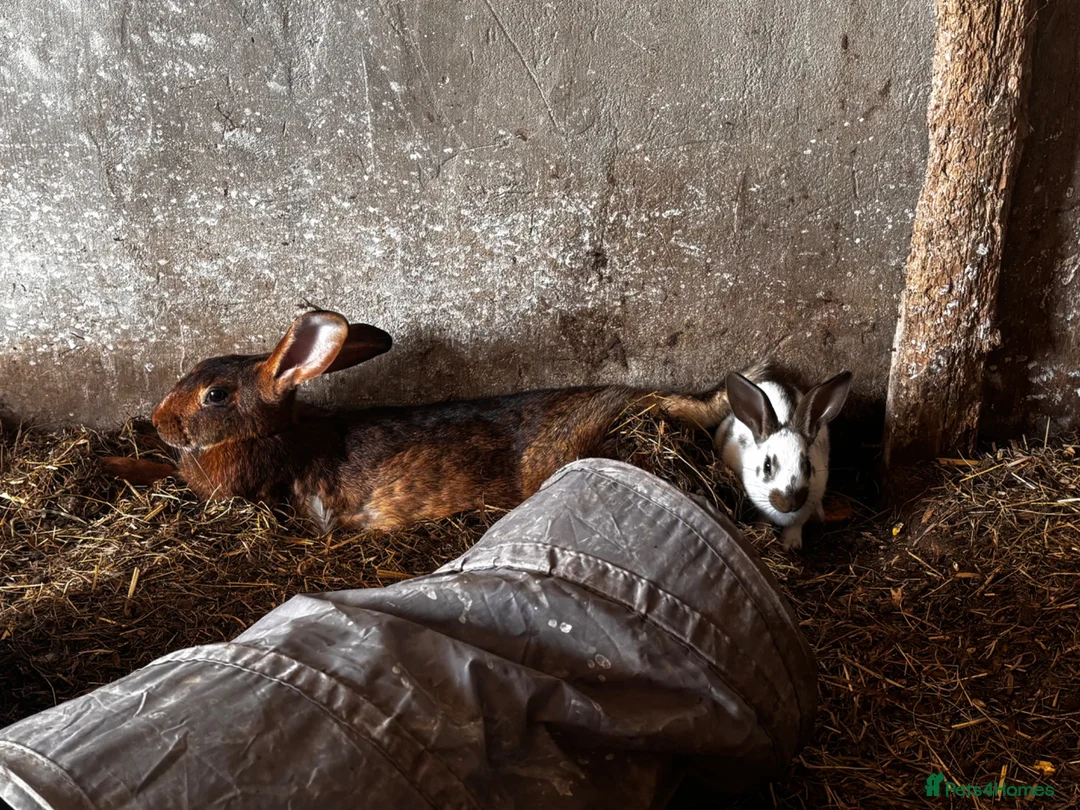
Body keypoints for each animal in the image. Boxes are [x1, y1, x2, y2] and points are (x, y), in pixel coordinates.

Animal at [714, 368, 853, 550]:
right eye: (767, 466)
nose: (790, 503)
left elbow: (795, 525)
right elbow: (763, 519)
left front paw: (790, 545)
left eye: (807, 465)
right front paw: (763, 533)